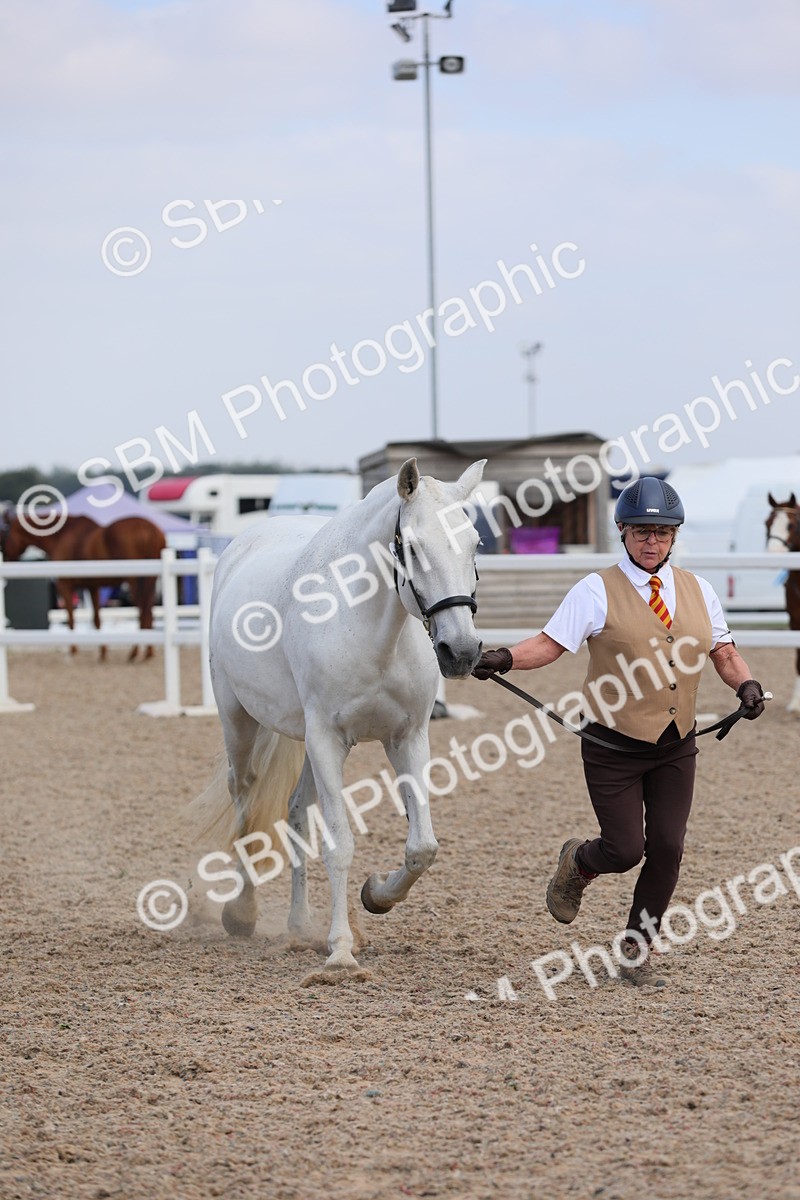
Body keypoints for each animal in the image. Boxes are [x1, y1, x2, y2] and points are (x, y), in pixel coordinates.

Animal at [0, 511, 167, 661]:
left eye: (5, 532)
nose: (5, 557)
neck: (61, 536)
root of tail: (148, 527)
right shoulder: (92, 586)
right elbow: (96, 619)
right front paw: (102, 653)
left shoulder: (65, 586)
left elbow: (71, 619)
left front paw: (72, 652)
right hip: (149, 581)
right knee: (148, 611)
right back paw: (148, 652)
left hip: (135, 580)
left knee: (143, 612)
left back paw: (134, 652)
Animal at [194, 457, 485, 981]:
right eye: (413, 547)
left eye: (475, 543)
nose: (462, 651)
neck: (368, 629)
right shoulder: (329, 740)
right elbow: (339, 845)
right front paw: (341, 951)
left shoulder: (407, 738)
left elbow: (422, 846)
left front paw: (377, 895)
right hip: (240, 723)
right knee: (244, 799)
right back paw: (242, 913)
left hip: (304, 741)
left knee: (294, 812)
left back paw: (298, 926)